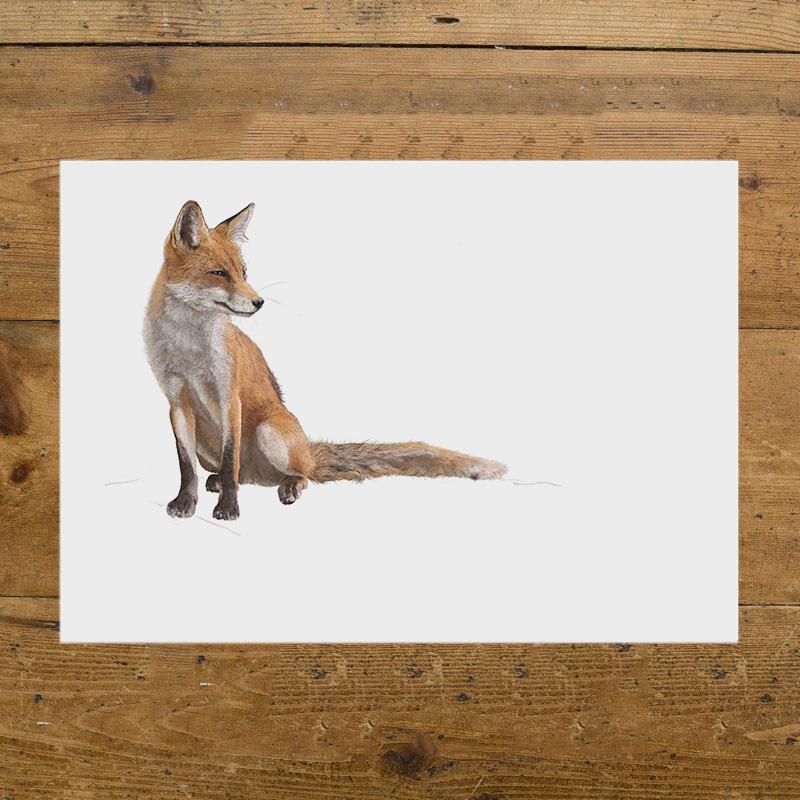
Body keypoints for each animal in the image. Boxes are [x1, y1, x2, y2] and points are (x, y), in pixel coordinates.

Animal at [144, 200, 507, 521]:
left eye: (243, 273)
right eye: (219, 273)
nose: (259, 302)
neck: (188, 347)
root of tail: (307, 451)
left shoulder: (229, 397)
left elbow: (230, 458)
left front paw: (229, 509)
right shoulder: (177, 402)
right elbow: (186, 467)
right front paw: (185, 503)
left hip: (268, 431)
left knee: (292, 474)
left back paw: (289, 485)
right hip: (210, 447)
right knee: (238, 474)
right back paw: (223, 481)